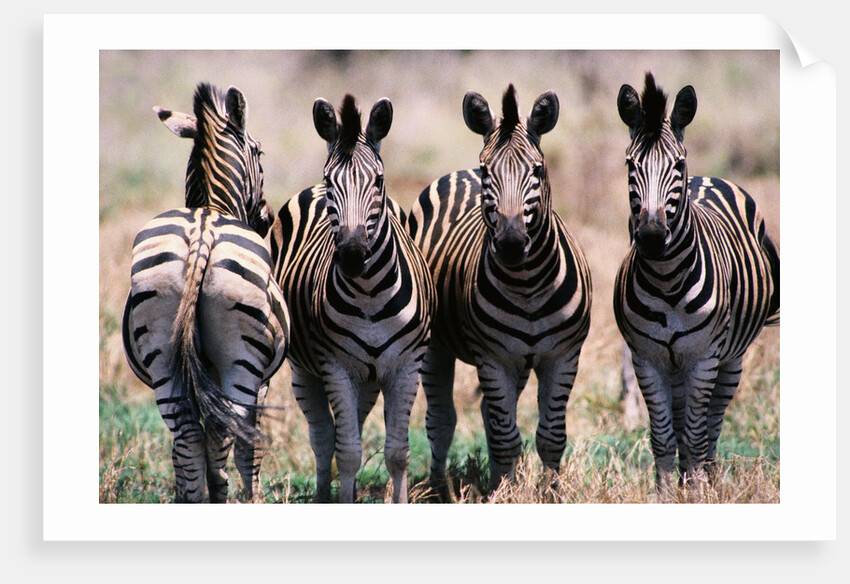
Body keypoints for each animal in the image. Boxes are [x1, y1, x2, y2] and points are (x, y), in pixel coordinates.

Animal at [122, 83, 290, 503]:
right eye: (260, 152)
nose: (266, 218)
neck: (211, 205)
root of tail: (202, 233)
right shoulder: (263, 382)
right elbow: (244, 446)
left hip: (163, 355)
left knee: (187, 437)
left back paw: (197, 497)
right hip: (242, 361)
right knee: (228, 434)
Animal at [270, 94, 436, 503]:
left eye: (379, 181)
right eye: (331, 181)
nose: (352, 254)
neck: (370, 294)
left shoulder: (406, 366)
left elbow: (397, 453)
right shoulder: (335, 367)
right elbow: (345, 452)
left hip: (370, 378)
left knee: (353, 427)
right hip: (305, 371)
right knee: (323, 438)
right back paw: (322, 496)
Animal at [407, 85, 593, 497]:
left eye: (537, 170)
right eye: (487, 170)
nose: (510, 243)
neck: (528, 284)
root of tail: (456, 174)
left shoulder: (562, 356)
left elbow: (551, 437)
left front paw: (549, 495)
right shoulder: (493, 358)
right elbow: (507, 438)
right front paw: (506, 496)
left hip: (519, 361)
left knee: (489, 416)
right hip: (438, 346)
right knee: (442, 419)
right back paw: (439, 489)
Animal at [613, 73, 780, 499]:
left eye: (678, 164)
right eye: (630, 164)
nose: (652, 237)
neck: (666, 279)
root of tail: (708, 178)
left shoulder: (704, 357)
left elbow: (693, 435)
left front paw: (698, 496)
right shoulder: (647, 359)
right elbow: (662, 437)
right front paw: (667, 497)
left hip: (730, 359)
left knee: (711, 426)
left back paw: (709, 478)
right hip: (675, 364)